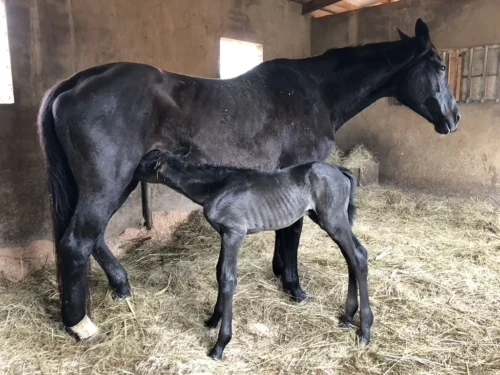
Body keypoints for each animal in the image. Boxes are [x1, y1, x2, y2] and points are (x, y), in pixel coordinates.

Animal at [135, 151, 374, 362]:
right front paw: (213, 319)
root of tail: (340, 170)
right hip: (327, 219)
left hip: (333, 219)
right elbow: (219, 273)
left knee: (358, 257)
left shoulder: (235, 233)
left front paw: (220, 345)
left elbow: (228, 279)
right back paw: (347, 318)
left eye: (143, 164)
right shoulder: (224, 234)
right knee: (352, 257)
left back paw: (365, 331)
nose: (131, 177)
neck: (217, 185)